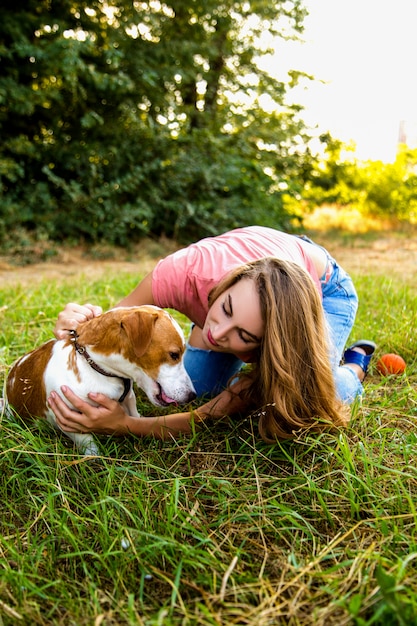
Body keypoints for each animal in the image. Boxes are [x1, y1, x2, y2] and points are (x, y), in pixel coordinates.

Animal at [3, 306, 195, 454]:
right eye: (174, 354)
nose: (192, 395)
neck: (93, 365)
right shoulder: (69, 420)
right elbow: (90, 447)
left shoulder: (129, 399)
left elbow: (134, 416)